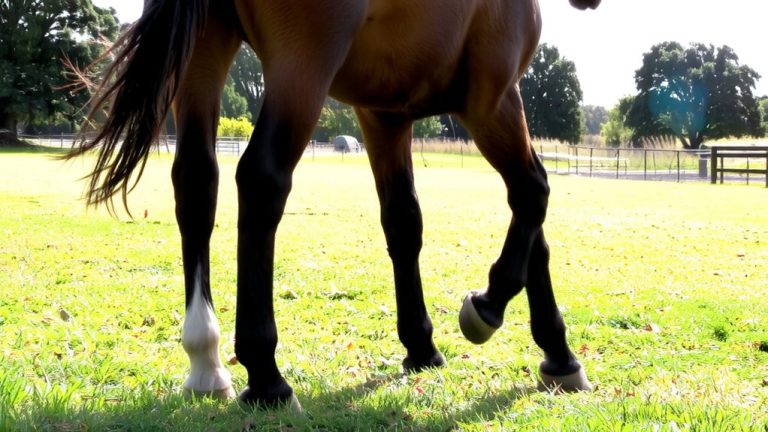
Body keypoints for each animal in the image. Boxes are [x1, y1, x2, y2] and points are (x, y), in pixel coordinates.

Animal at [69, 0, 601, 408]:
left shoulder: (385, 115)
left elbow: (407, 222)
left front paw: (424, 347)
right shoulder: (495, 97)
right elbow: (533, 196)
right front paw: (493, 311)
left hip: (204, 50)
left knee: (197, 184)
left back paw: (206, 362)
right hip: (303, 64)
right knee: (260, 180)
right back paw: (266, 377)